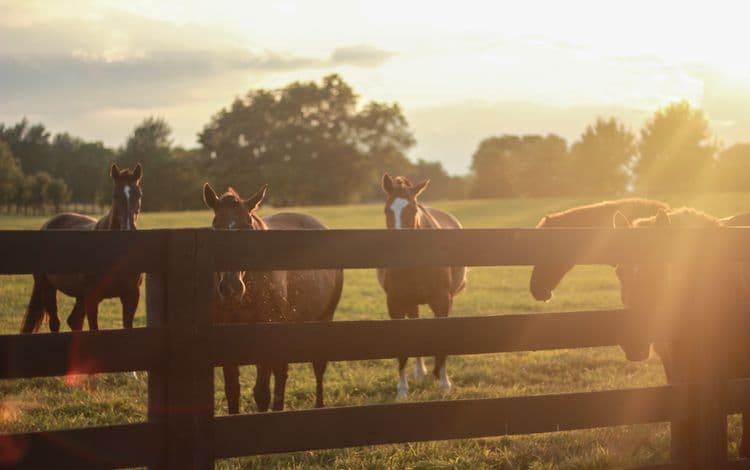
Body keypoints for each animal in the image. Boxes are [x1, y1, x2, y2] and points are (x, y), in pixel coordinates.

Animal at [20, 163, 144, 332]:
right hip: (46, 287)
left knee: (74, 321)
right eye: (115, 196)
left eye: (139, 195)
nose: (128, 230)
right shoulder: (92, 298)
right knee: (55, 322)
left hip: (79, 296)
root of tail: (48, 224)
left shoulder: (131, 296)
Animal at [206, 184, 346, 414]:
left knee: (318, 366)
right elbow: (232, 391)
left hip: (323, 319)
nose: (231, 288)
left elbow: (261, 393)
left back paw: (318, 405)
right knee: (282, 372)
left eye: (247, 226)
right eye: (216, 226)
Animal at [378, 174, 468, 398]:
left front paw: (444, 383)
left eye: (412, 210)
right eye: (387, 210)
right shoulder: (395, 304)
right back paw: (419, 372)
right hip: (411, 303)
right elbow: (403, 347)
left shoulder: (442, 301)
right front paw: (402, 389)